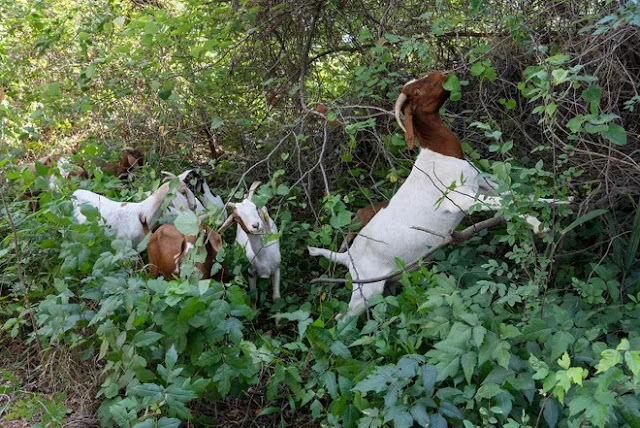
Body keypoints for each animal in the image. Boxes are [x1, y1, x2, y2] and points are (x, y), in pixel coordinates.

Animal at [308, 71, 568, 318]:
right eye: (418, 91)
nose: (443, 73)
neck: (440, 152)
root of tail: (348, 257)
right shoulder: (462, 199)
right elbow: (507, 203)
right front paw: (538, 225)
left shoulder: (481, 183)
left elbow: (518, 196)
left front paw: (560, 200)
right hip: (365, 291)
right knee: (343, 319)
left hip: (386, 282)